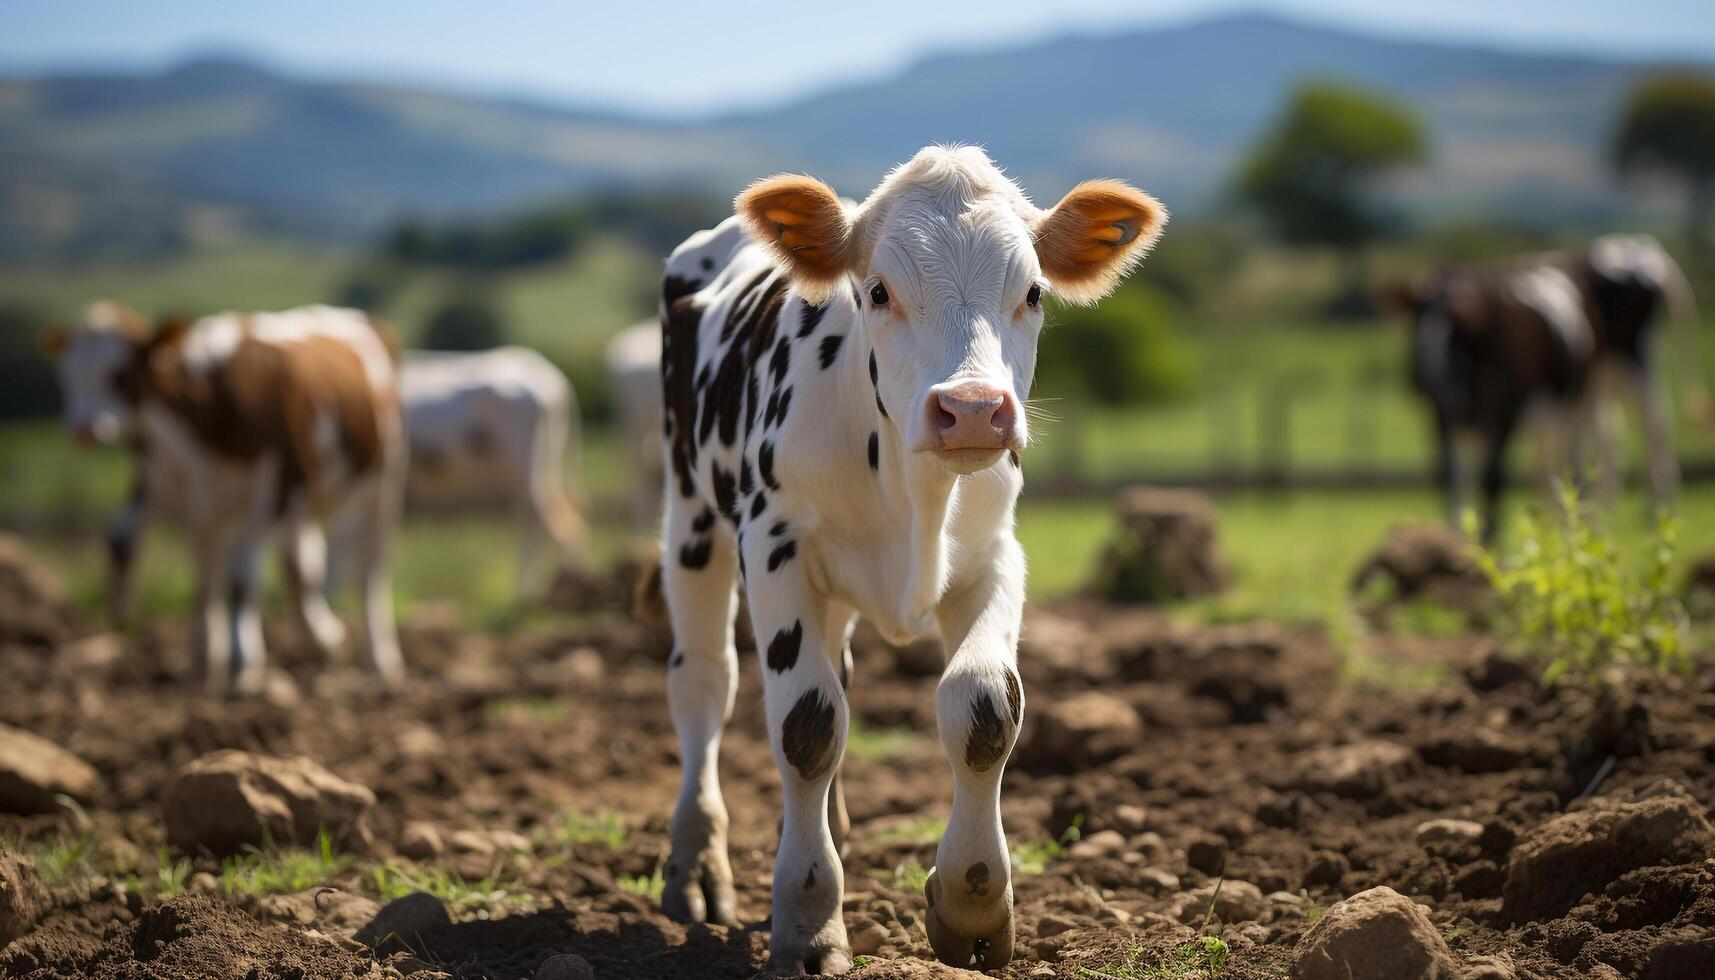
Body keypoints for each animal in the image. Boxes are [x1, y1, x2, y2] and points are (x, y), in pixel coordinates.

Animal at [46, 303, 404, 693]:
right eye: (66, 374)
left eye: (119, 374)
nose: (83, 430)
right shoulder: (168, 487)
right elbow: (132, 548)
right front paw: (199, 660)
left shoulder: (283, 484)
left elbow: (240, 573)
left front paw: (243, 665)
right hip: (283, 509)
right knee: (302, 566)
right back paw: (323, 636)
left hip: (380, 486)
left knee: (369, 571)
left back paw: (379, 663)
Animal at [397, 346, 586, 590]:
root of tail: (552, 377)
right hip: (533, 472)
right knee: (545, 522)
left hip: (528, 468)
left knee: (554, 525)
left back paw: (534, 589)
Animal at [651, 145, 1166, 974]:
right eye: (878, 291)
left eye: (1031, 292)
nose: (973, 411)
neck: (914, 493)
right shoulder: (774, 544)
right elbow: (805, 724)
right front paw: (808, 919)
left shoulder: (995, 555)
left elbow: (982, 707)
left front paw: (972, 903)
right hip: (692, 514)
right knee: (703, 681)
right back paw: (696, 867)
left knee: (836, 668)